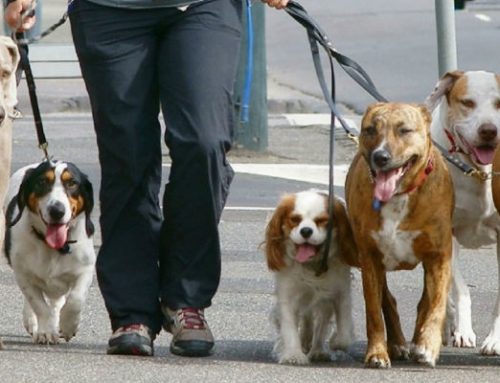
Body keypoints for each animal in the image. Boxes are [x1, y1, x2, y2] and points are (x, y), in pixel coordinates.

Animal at [264, 191, 358, 366]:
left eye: (321, 221)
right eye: (295, 219)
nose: (306, 231)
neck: (311, 265)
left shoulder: (340, 293)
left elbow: (344, 332)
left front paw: (336, 342)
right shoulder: (288, 296)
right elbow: (289, 328)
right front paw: (293, 354)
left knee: (320, 324)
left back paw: (317, 350)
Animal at [346, 102, 456, 368]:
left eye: (404, 130)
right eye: (370, 129)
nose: (380, 156)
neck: (399, 195)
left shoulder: (439, 256)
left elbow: (435, 304)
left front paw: (428, 345)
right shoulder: (370, 257)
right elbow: (374, 310)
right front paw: (377, 353)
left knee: (424, 301)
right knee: (387, 299)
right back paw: (396, 344)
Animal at [426, 70, 500, 356]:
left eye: (499, 103)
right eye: (467, 102)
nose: (489, 130)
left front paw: (495, 340)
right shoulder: (448, 233)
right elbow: (459, 289)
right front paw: (464, 331)